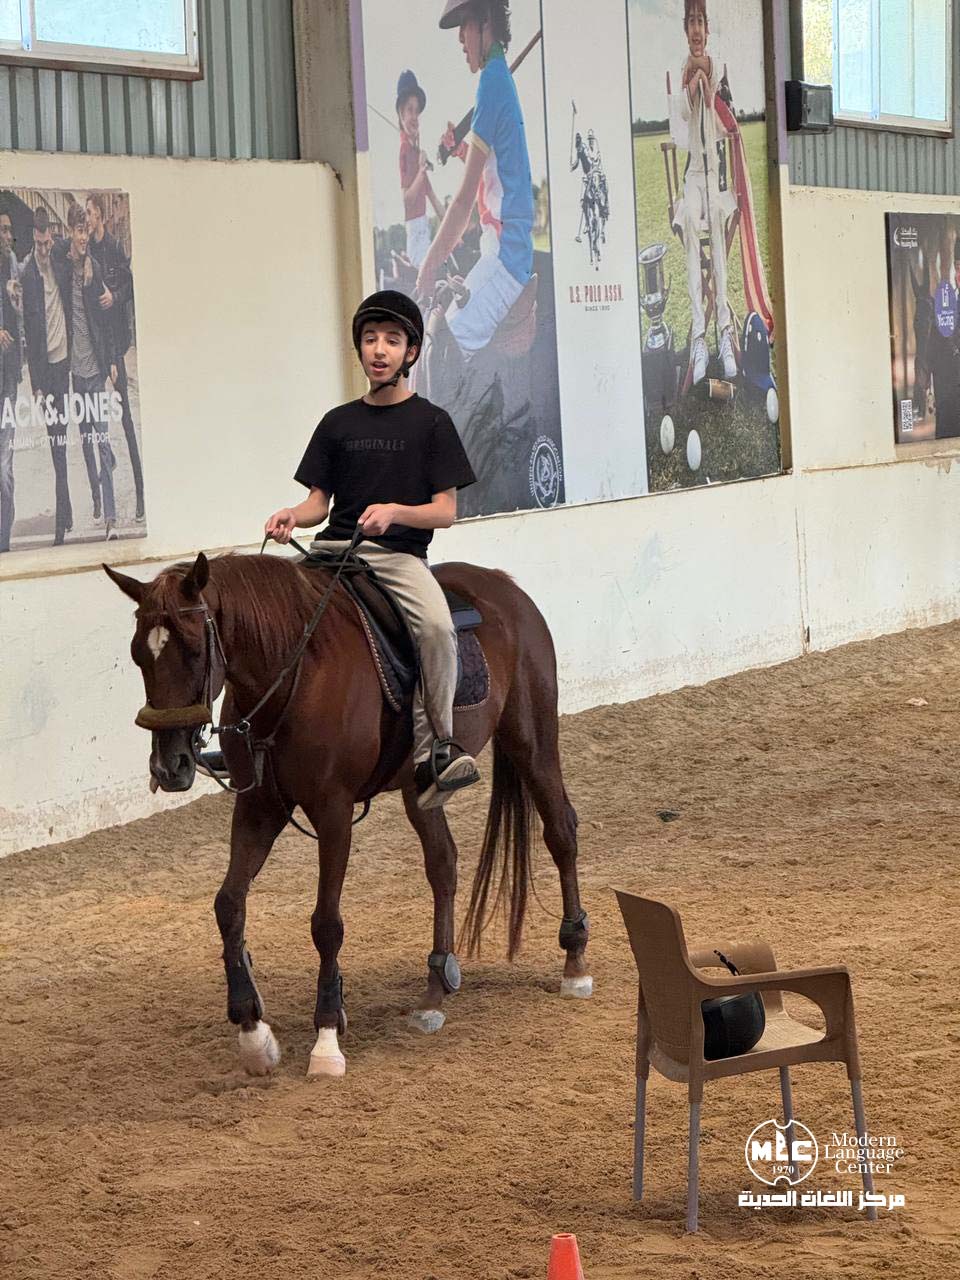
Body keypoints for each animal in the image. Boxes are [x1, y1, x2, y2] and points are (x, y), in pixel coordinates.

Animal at [103, 550, 591, 1078]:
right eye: (138, 654)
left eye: (194, 650)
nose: (169, 767)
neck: (293, 676)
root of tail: (505, 586)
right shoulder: (259, 806)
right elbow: (228, 904)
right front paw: (253, 1031)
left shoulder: (333, 811)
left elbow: (326, 923)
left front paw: (327, 1035)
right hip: (419, 788)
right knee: (443, 864)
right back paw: (435, 990)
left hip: (532, 738)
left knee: (560, 831)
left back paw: (575, 963)